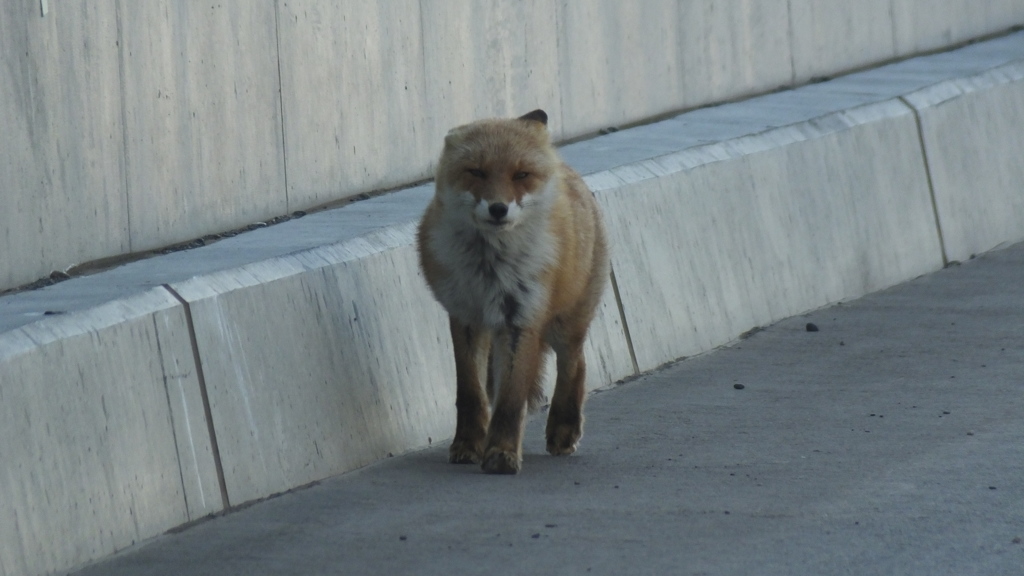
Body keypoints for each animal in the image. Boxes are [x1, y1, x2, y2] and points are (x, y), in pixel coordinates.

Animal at [415, 109, 606, 473]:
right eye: (476, 172)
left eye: (521, 175)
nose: (498, 208)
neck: (489, 268)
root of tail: (564, 166)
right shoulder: (465, 316)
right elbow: (471, 395)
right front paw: (468, 445)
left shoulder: (521, 319)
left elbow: (510, 401)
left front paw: (501, 453)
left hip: (565, 324)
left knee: (575, 364)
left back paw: (564, 427)